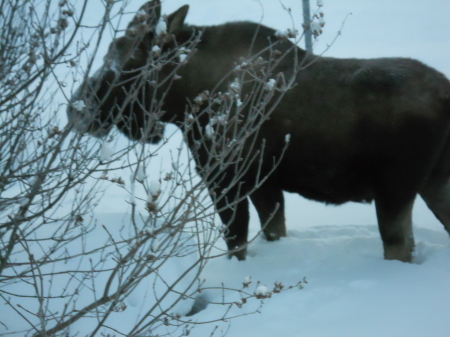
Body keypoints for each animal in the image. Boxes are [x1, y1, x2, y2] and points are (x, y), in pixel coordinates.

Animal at [67, 0, 450, 262]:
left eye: (127, 61)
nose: (75, 110)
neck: (186, 98)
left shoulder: (225, 178)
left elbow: (236, 242)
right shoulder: (265, 184)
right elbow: (272, 231)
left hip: (396, 189)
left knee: (400, 245)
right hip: (434, 182)